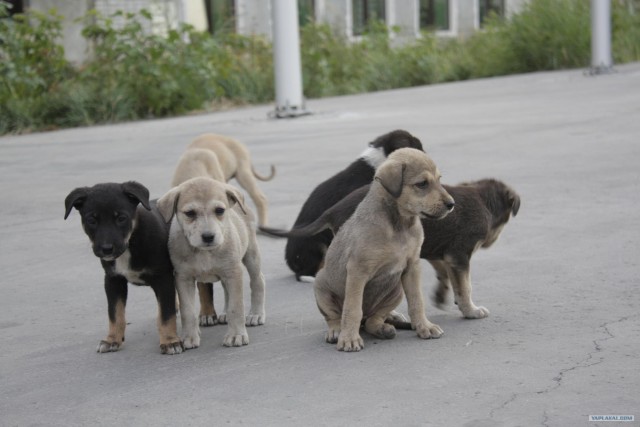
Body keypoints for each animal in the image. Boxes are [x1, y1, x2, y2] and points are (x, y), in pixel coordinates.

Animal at [64, 182, 182, 356]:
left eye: (121, 218)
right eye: (91, 220)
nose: (107, 249)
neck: (131, 242)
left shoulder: (163, 278)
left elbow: (166, 315)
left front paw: (170, 341)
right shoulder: (113, 280)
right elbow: (115, 314)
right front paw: (112, 339)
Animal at [159, 179, 266, 350]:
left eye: (220, 210)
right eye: (190, 213)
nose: (208, 236)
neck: (204, 253)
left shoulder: (233, 272)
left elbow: (236, 307)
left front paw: (236, 335)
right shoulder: (183, 278)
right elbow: (187, 311)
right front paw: (189, 337)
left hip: (251, 255)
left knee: (258, 281)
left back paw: (256, 314)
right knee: (227, 291)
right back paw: (225, 314)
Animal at [312, 149, 452, 352]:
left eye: (439, 180)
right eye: (422, 184)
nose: (452, 204)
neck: (400, 225)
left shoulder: (412, 267)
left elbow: (417, 302)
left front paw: (425, 327)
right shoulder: (357, 271)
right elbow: (352, 309)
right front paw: (349, 339)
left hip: (396, 289)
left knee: (374, 319)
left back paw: (384, 328)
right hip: (321, 284)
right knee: (336, 317)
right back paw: (337, 331)